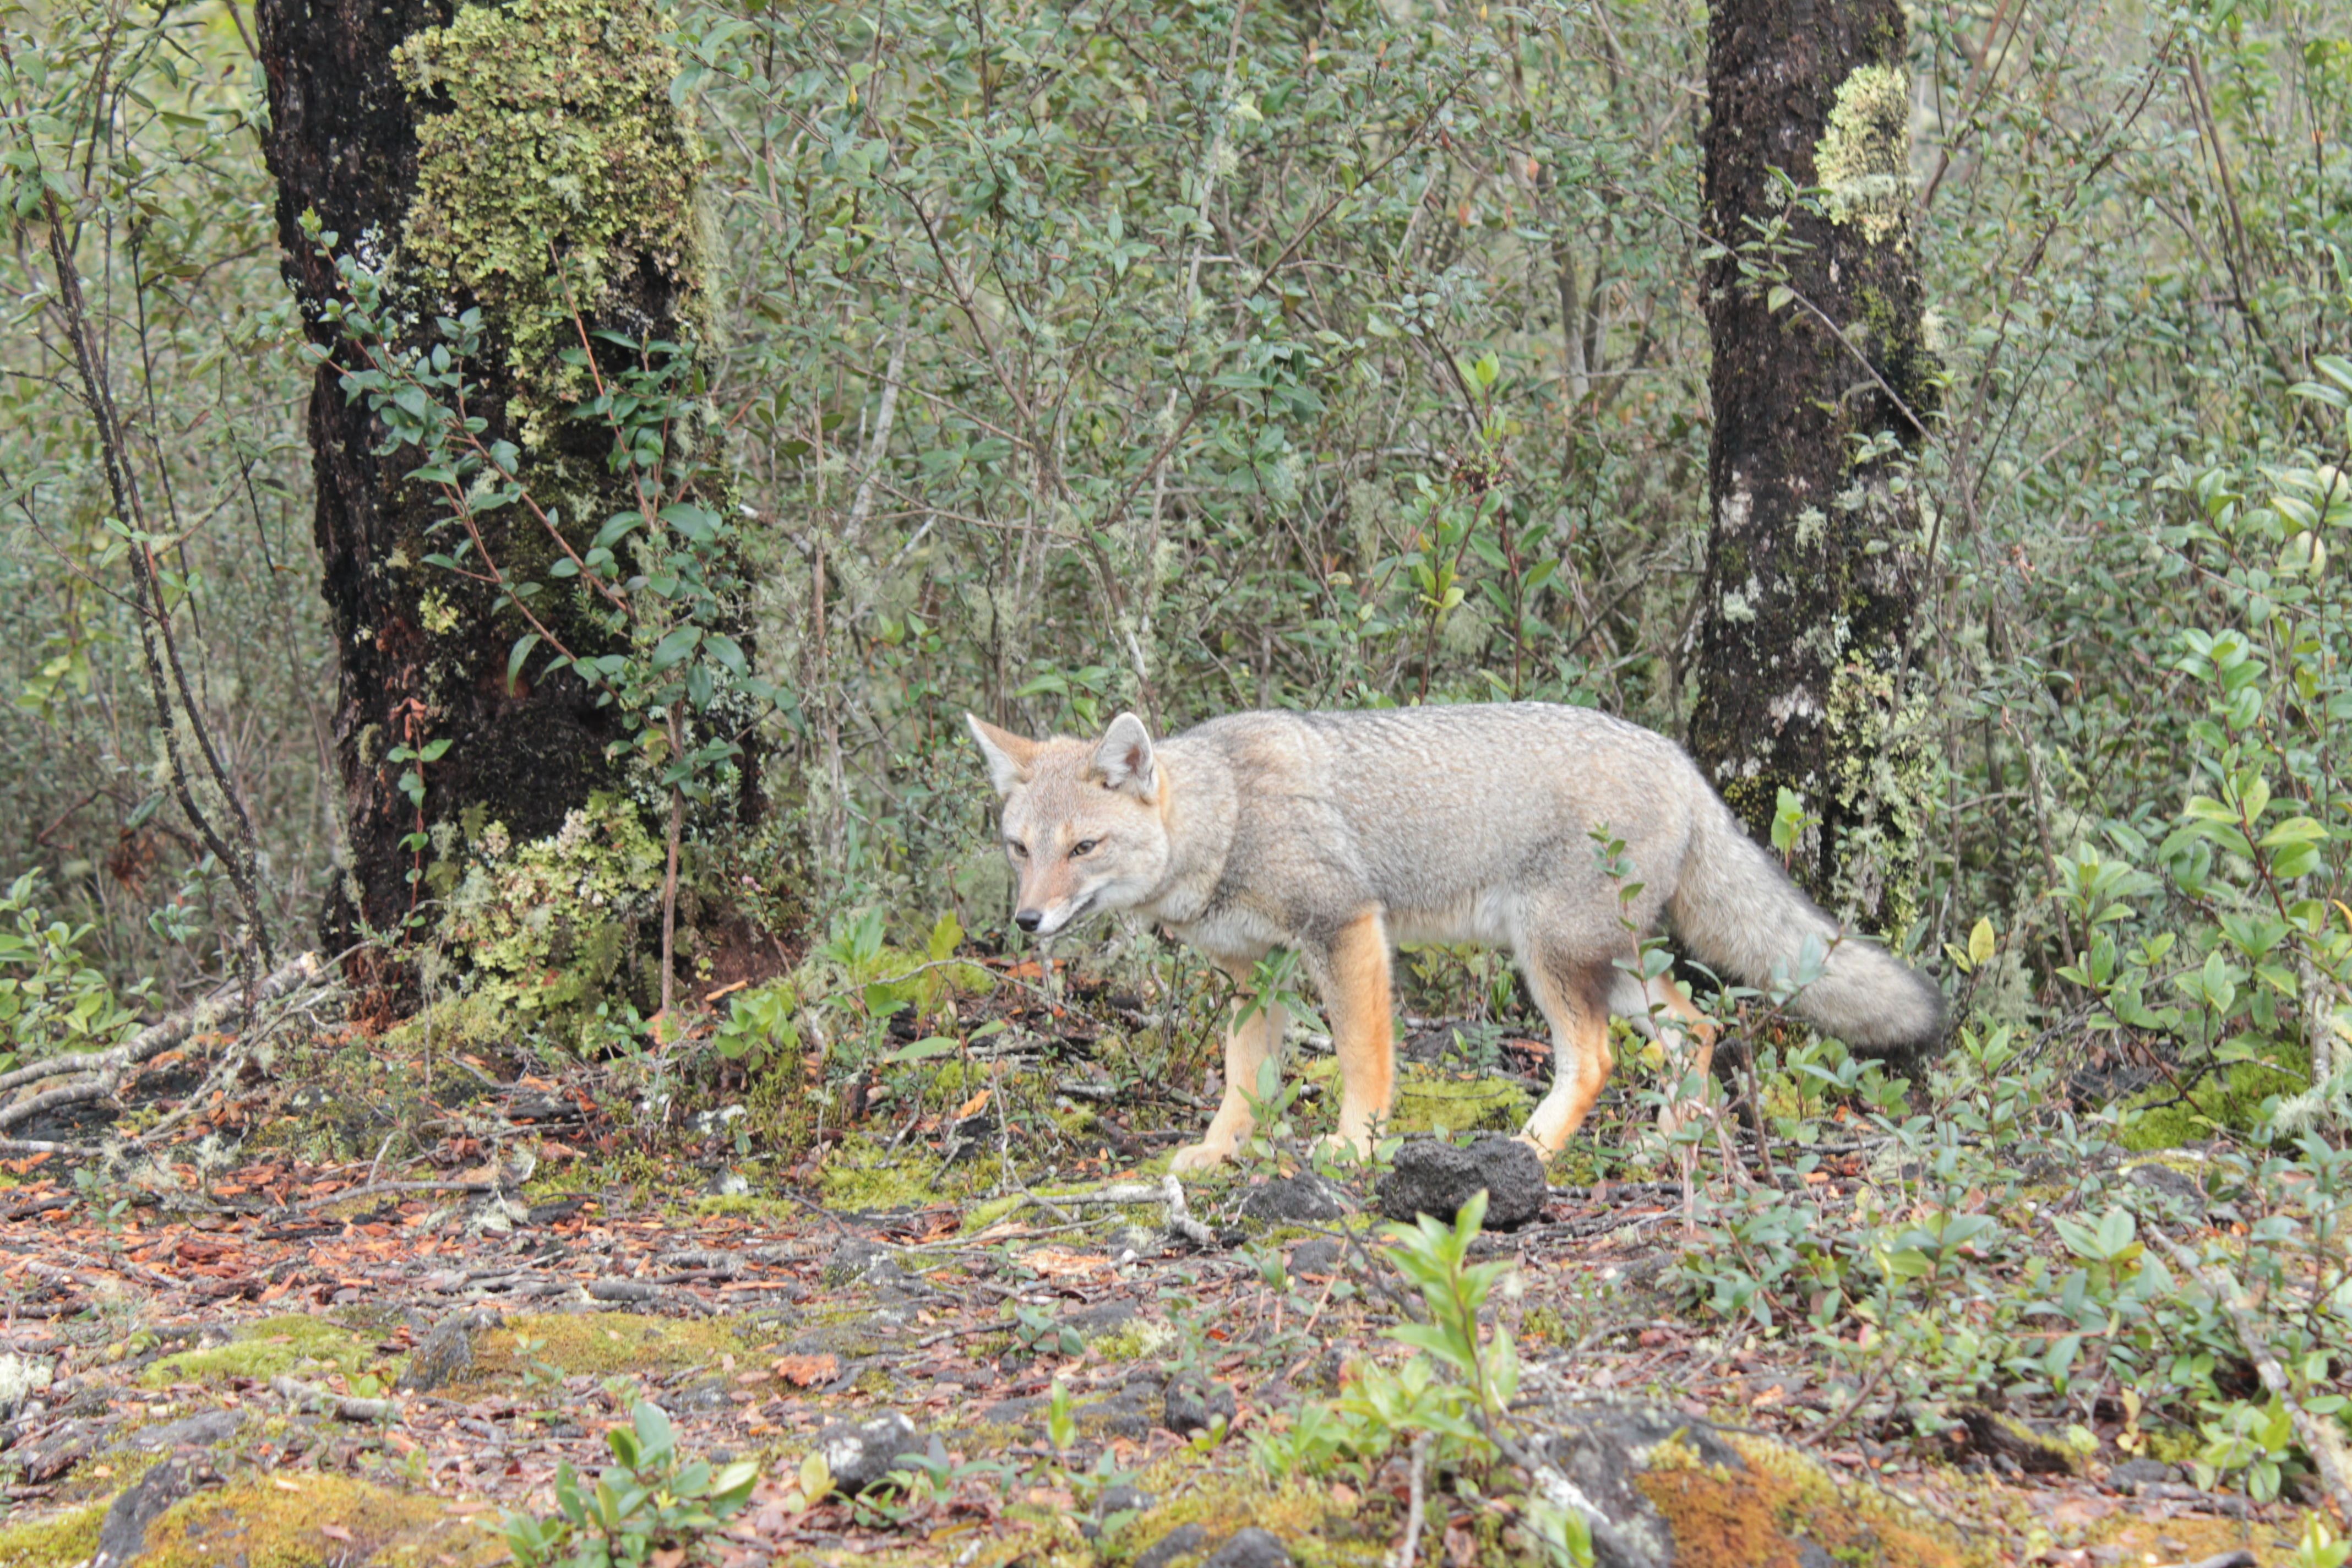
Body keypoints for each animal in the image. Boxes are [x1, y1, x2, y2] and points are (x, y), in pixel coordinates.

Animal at [964, 702, 1943, 1172]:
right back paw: (1671, 1144)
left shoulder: (1346, 929)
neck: (1228, 817)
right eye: (1020, 849)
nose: (1026, 921)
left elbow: (1364, 1058)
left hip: (1551, 959)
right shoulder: (1260, 977)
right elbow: (1244, 1082)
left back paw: (1530, 1151)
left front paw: (1359, 1146)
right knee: (1696, 1028)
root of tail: (1676, 756)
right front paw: (1219, 1154)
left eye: (1083, 849)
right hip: (1612, 965)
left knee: (1595, 1060)